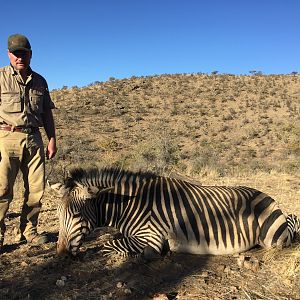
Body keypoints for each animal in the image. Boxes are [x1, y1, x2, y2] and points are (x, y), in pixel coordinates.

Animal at [50, 168, 298, 256]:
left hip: (273, 240)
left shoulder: (151, 237)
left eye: (77, 215)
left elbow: (109, 245)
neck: (129, 205)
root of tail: (268, 197)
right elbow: (112, 239)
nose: (61, 254)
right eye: (58, 216)